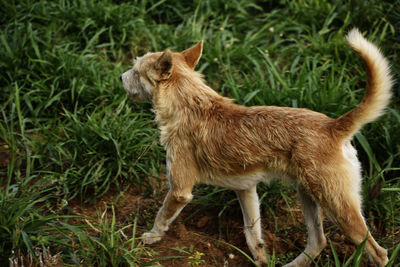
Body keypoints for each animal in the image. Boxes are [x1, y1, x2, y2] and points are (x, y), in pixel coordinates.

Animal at [121, 28, 390, 266]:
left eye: (135, 71)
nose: (121, 77)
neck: (191, 106)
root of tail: (333, 125)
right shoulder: (246, 189)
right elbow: (254, 238)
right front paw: (262, 261)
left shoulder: (179, 190)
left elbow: (162, 216)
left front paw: (152, 236)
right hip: (308, 196)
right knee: (318, 243)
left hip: (337, 207)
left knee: (379, 253)